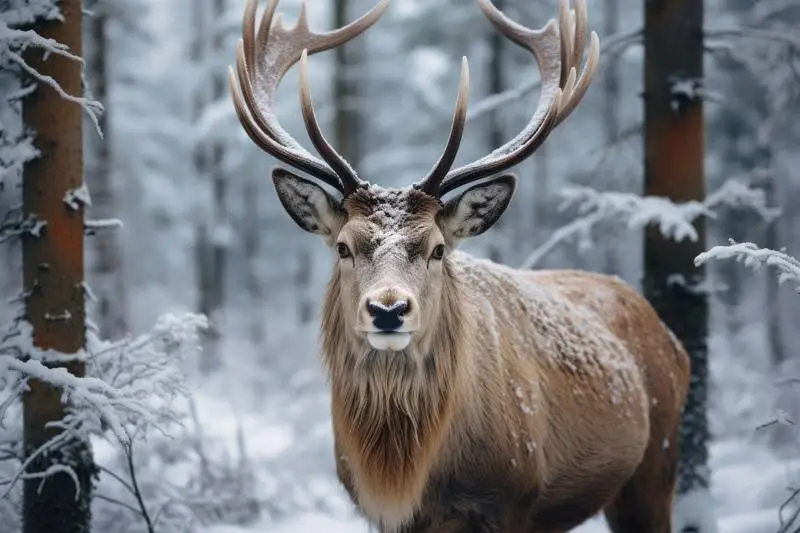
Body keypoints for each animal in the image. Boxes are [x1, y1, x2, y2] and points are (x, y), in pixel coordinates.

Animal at [228, 0, 691, 531]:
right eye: (343, 247)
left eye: (437, 249)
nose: (388, 310)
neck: (407, 476)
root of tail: (671, 339)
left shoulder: (512, 497)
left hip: (656, 463)